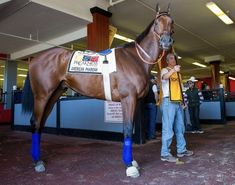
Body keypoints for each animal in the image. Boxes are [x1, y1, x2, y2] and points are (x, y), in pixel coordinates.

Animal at [21, 5, 173, 178]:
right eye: (157, 22)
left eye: (171, 22)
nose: (166, 41)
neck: (135, 58)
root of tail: (35, 59)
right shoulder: (128, 98)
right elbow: (127, 129)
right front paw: (129, 165)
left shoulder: (134, 101)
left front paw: (132, 162)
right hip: (42, 95)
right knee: (35, 122)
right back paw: (37, 161)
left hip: (53, 96)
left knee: (40, 124)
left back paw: (38, 159)